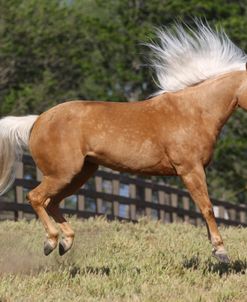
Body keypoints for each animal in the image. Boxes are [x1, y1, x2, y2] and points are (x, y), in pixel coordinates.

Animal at [0, 22, 247, 262]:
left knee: (51, 202)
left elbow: (205, 211)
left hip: (80, 173)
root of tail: (37, 121)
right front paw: (221, 252)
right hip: (62, 174)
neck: (194, 112)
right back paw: (51, 242)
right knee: (36, 197)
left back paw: (65, 242)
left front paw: (215, 249)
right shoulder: (190, 169)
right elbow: (207, 208)